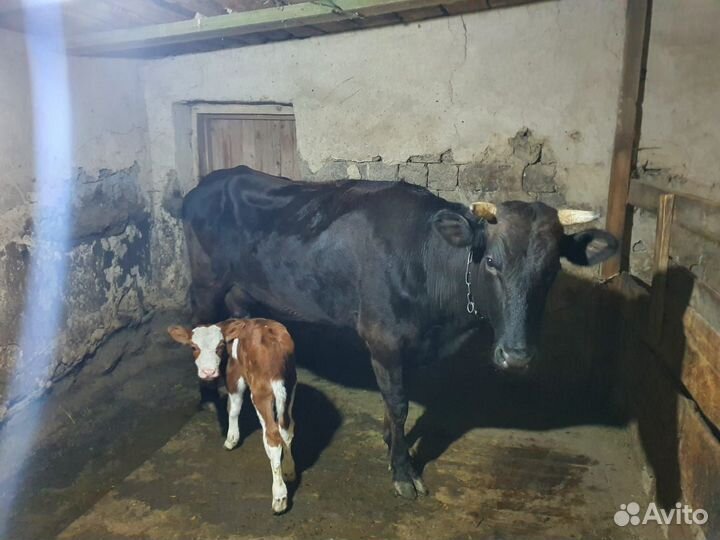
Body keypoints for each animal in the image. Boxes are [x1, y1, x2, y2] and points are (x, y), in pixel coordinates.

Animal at [168, 318, 297, 514]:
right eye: (193, 347)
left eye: (220, 346)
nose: (208, 372)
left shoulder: (234, 376)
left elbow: (233, 408)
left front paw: (231, 439)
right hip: (289, 386)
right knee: (286, 429)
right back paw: (290, 470)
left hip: (261, 393)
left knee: (272, 436)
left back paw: (279, 497)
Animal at [180, 165, 617, 499]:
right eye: (492, 261)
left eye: (552, 269)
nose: (516, 356)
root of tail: (208, 183)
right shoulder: (383, 338)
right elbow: (399, 402)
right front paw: (403, 471)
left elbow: (399, 403)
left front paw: (392, 441)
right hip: (206, 284)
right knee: (199, 327)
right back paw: (209, 398)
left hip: (242, 291)